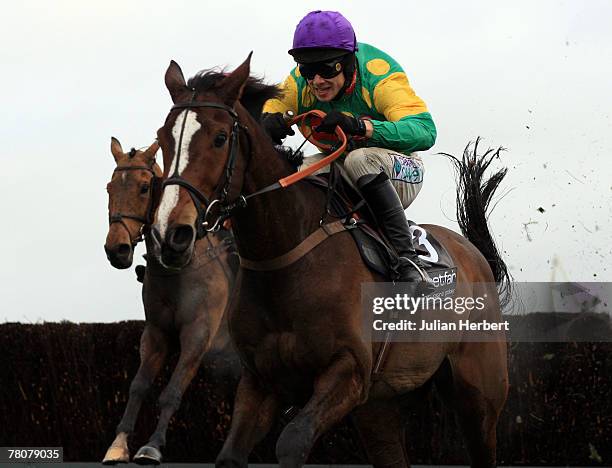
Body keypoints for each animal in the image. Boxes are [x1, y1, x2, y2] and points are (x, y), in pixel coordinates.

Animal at [103, 138, 237, 464]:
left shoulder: (197, 336)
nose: (116, 249)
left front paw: (152, 445)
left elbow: (172, 392)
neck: (179, 267)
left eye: (143, 187)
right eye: (109, 188)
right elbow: (138, 386)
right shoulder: (156, 334)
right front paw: (119, 444)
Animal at [151, 55, 510, 468]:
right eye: (163, 139)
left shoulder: (347, 371)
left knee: (364, 159)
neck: (284, 256)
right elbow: (230, 455)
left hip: (479, 396)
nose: (171, 233)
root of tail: (474, 255)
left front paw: (345, 123)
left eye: (220, 138)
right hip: (380, 407)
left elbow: (292, 441)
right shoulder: (260, 381)